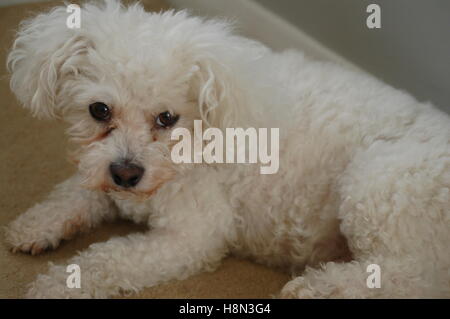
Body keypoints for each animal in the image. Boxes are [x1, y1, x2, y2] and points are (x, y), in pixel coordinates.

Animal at [4, 0, 450, 300]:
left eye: (166, 118)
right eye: (99, 110)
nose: (126, 174)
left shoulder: (190, 238)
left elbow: (107, 258)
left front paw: (58, 283)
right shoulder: (100, 174)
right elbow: (73, 193)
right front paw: (35, 225)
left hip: (375, 184)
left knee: (407, 278)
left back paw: (321, 287)